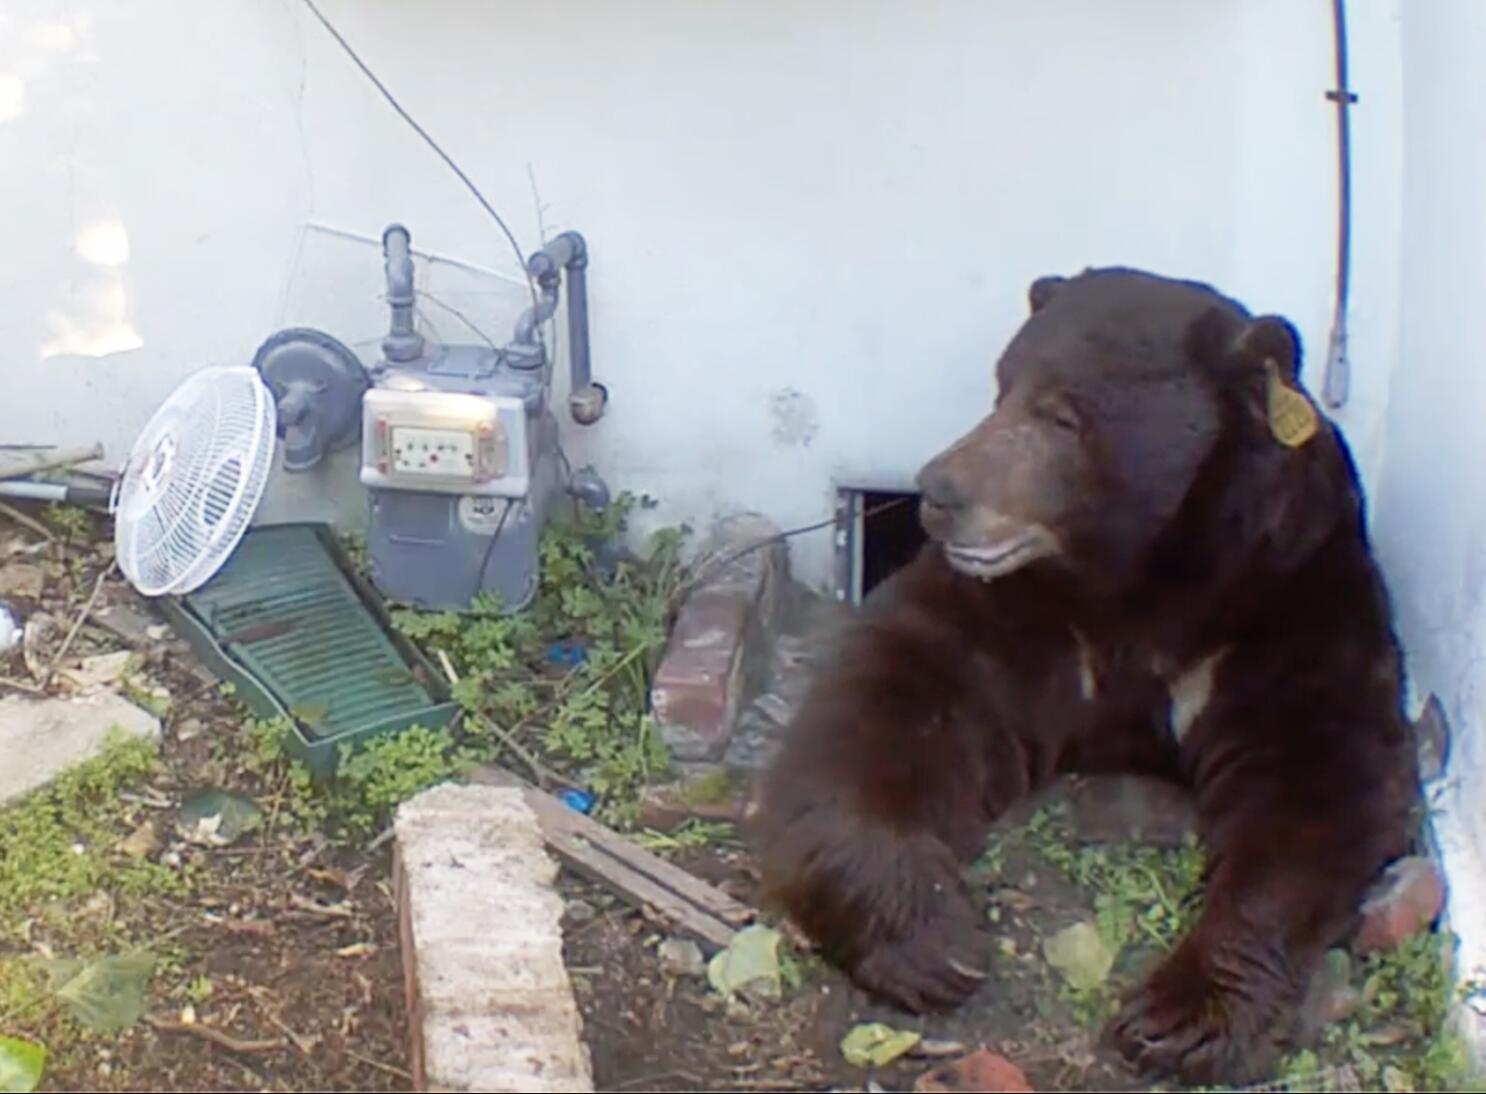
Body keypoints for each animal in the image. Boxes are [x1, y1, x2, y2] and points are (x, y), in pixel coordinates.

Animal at [749, 266, 1422, 1086]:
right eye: (1001, 386)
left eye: (1062, 414)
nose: (939, 492)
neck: (1141, 586)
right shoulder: (1020, 616)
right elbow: (891, 698)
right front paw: (934, 939)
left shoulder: (1288, 601)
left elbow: (1319, 777)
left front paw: (1179, 1016)